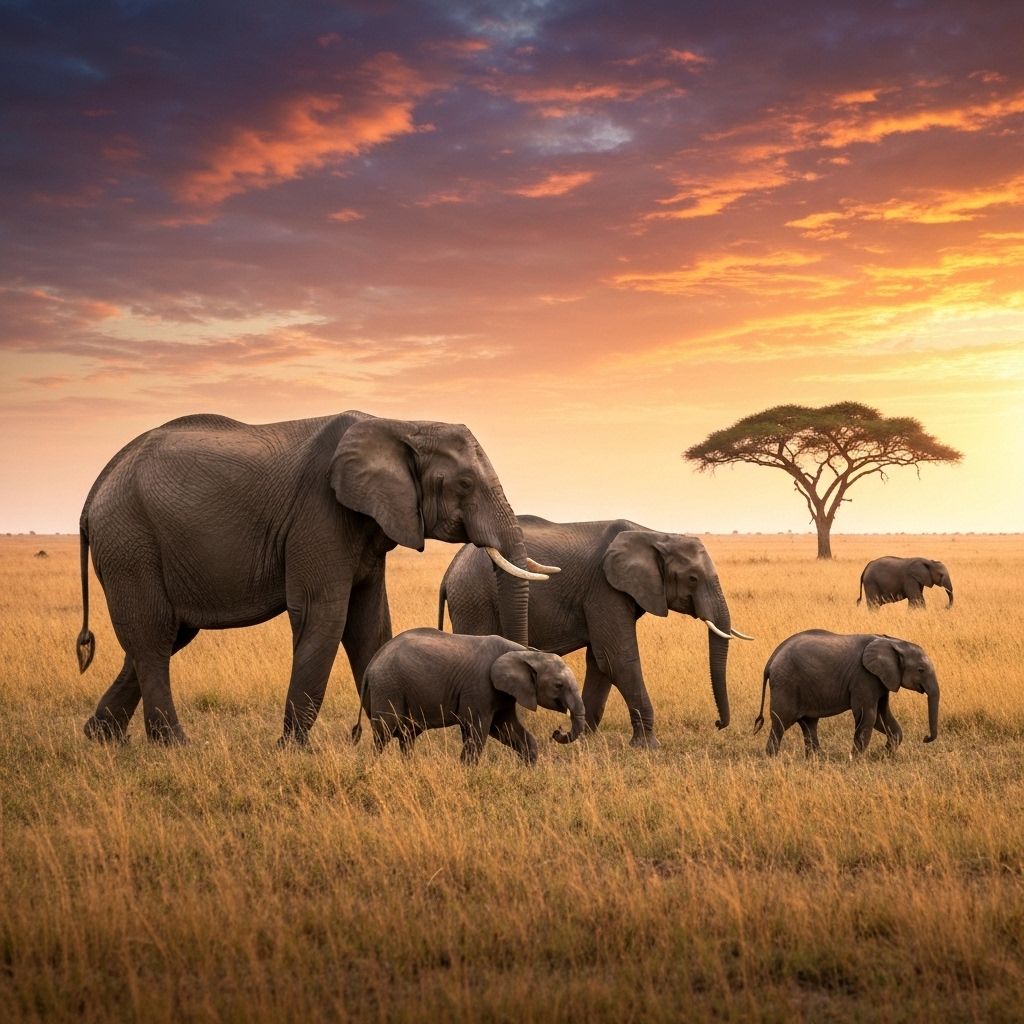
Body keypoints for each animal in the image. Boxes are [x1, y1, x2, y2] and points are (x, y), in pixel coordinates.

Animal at [75, 411, 556, 746]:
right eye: (465, 485)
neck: (402, 424)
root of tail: (97, 485)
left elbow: (368, 624)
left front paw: (393, 739)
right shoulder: (320, 515)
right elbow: (324, 617)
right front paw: (293, 750)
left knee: (163, 636)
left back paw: (101, 738)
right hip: (130, 540)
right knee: (154, 636)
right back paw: (174, 746)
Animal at [350, 628, 586, 764]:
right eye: (558, 685)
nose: (557, 731)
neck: (525, 652)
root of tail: (372, 663)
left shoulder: (503, 693)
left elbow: (507, 729)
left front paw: (527, 770)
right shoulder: (480, 687)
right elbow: (478, 732)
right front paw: (467, 772)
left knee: (406, 736)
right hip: (387, 687)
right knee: (383, 734)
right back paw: (373, 769)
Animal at [438, 516, 751, 750]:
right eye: (693, 579)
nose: (718, 724)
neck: (656, 535)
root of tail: (451, 568)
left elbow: (600, 663)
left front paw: (583, 738)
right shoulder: (604, 587)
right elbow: (616, 658)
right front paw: (648, 746)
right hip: (475, 599)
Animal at [753, 629, 940, 757]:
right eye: (921, 670)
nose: (925, 738)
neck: (893, 641)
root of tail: (771, 659)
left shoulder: (882, 680)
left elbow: (884, 715)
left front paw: (885, 753)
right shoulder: (864, 677)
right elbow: (868, 716)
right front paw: (856, 759)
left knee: (809, 724)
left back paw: (817, 759)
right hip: (786, 684)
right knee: (781, 723)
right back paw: (772, 759)